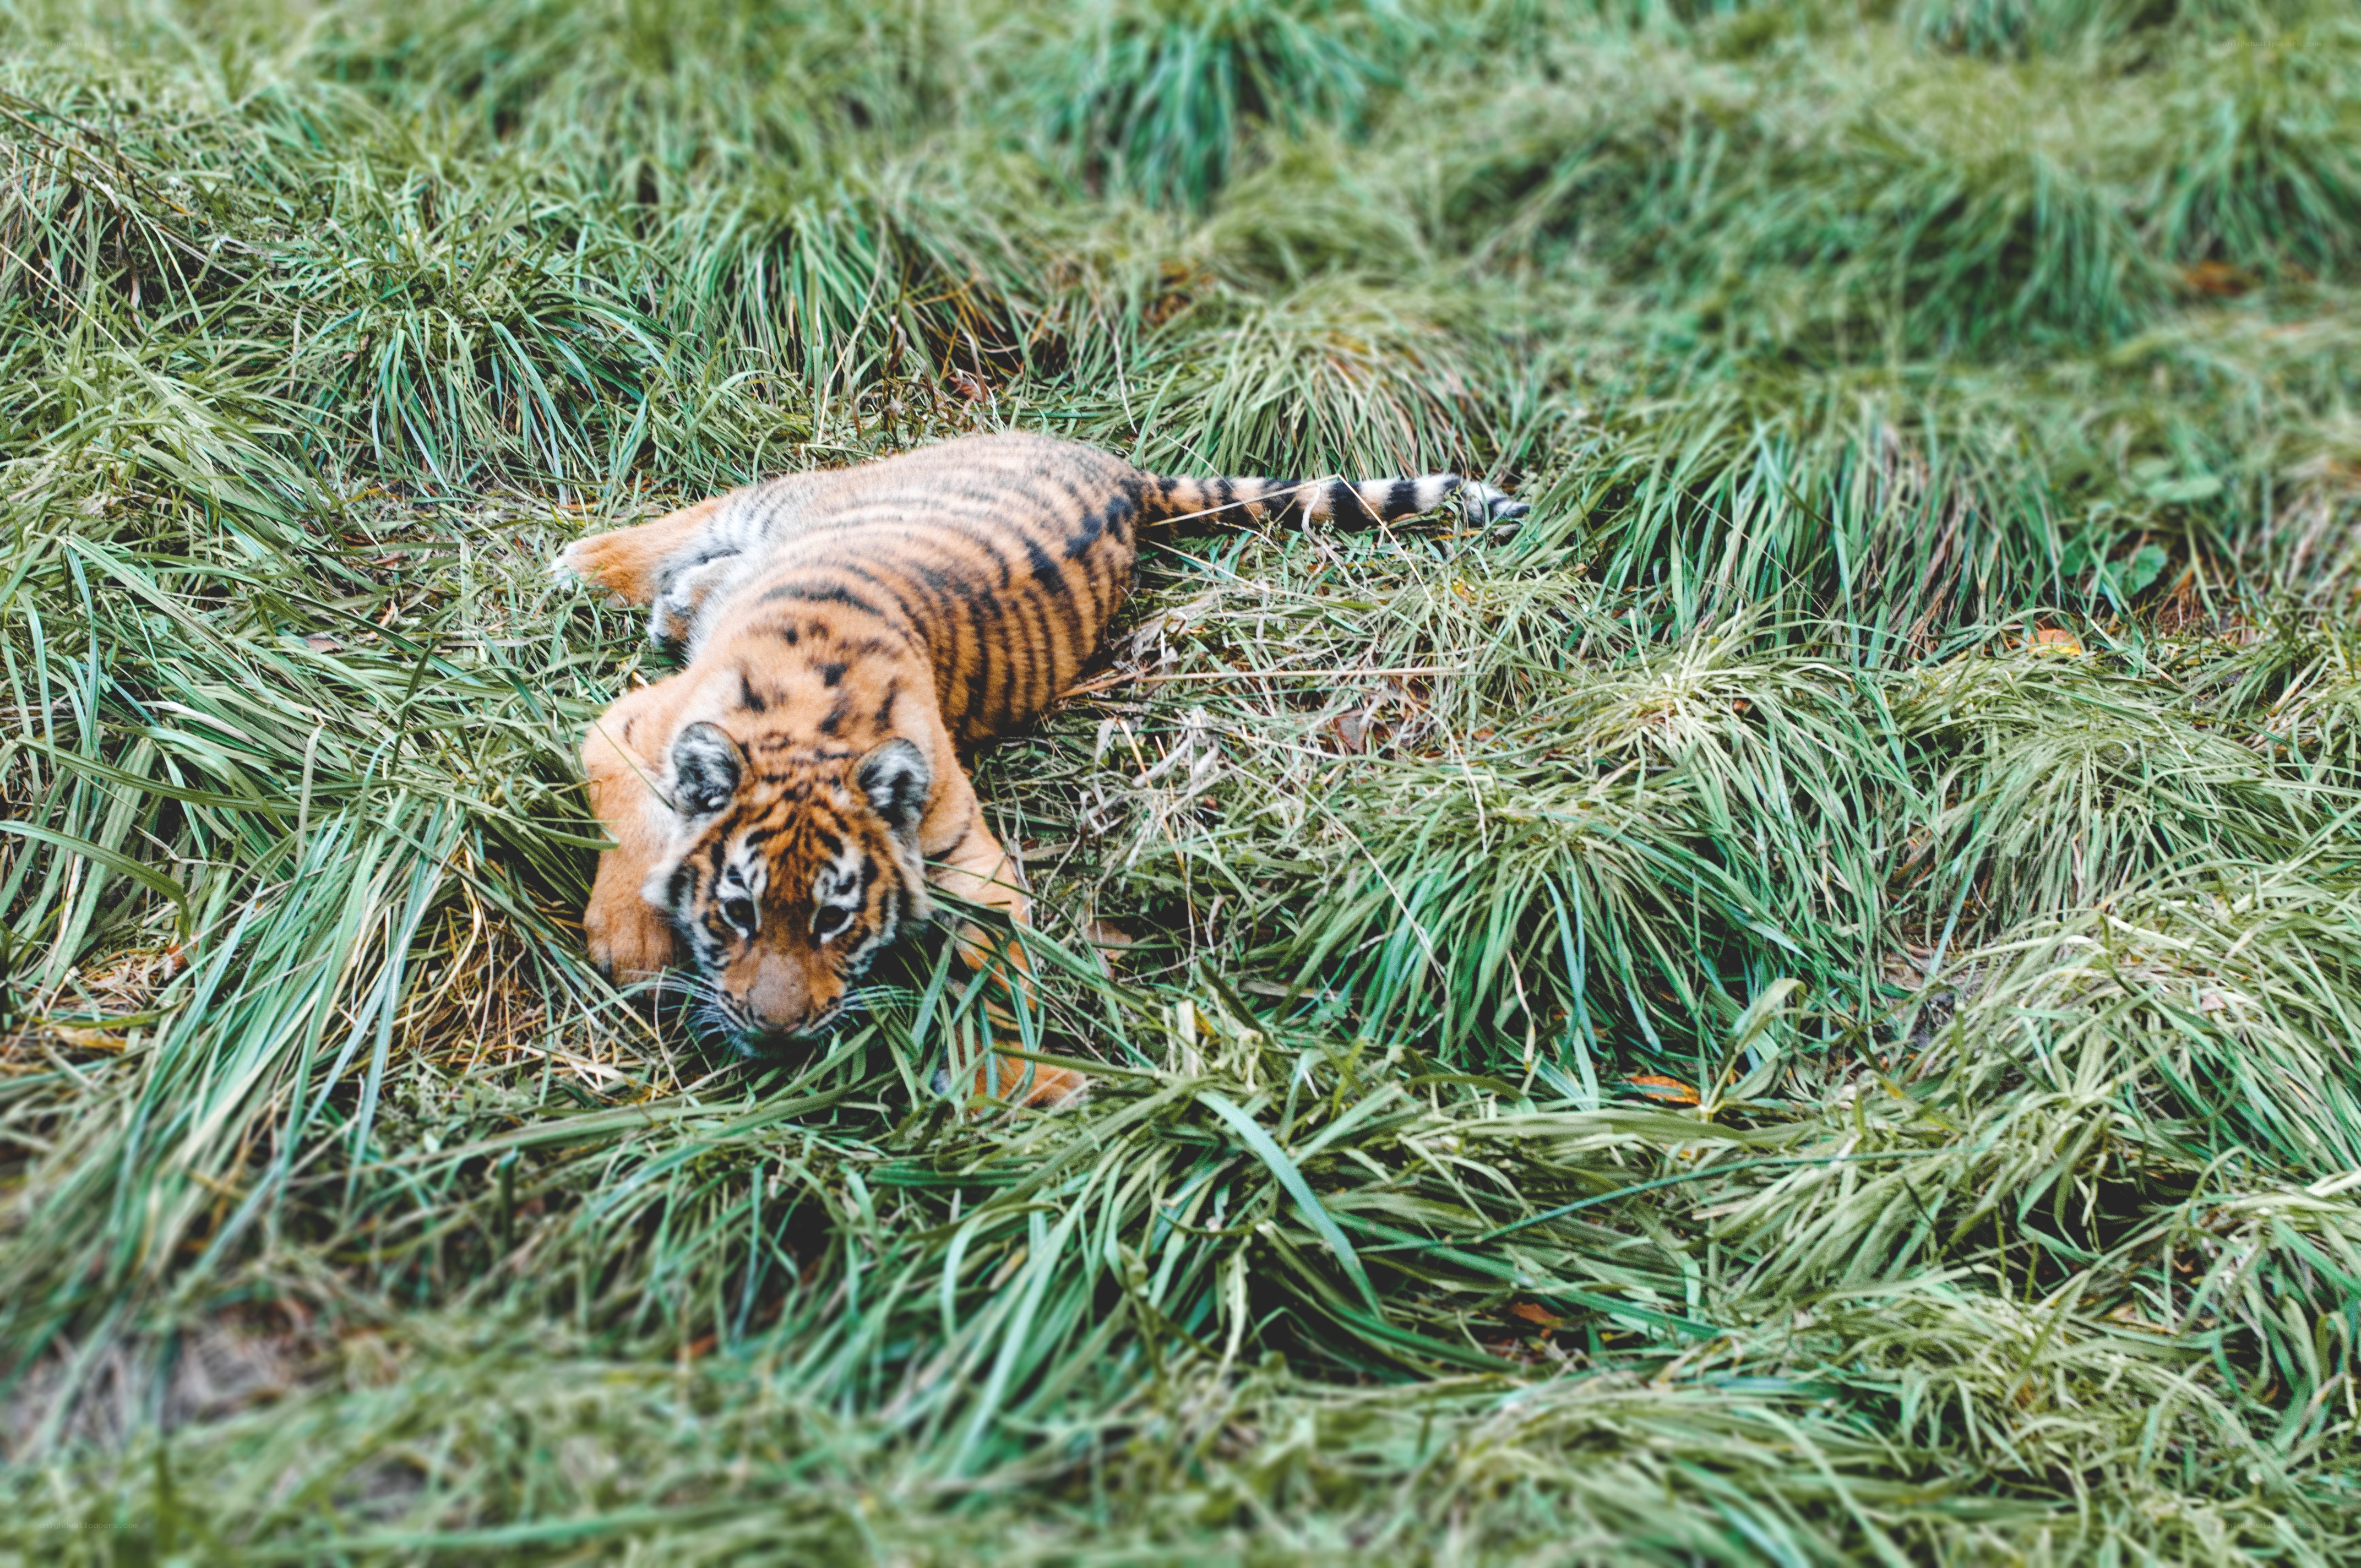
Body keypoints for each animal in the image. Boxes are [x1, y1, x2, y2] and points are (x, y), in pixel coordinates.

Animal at [555, 431, 1525, 1103]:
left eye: (835, 920)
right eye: (738, 912)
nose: (779, 1032)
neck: (809, 734)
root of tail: (1123, 475)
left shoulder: (963, 855)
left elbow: (998, 971)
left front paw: (1021, 1083)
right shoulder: (628, 726)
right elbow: (631, 810)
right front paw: (631, 941)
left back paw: (673, 601)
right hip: (811, 495)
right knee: (707, 513)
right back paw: (595, 564)